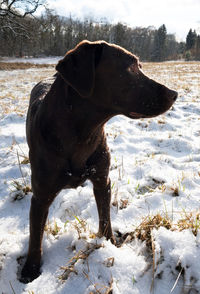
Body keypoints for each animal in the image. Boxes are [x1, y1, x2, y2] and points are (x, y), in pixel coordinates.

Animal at [19, 39, 177, 282]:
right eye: (131, 67)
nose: (174, 93)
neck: (81, 135)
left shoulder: (103, 180)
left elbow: (105, 218)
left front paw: (109, 244)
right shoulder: (40, 196)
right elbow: (35, 235)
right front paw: (31, 269)